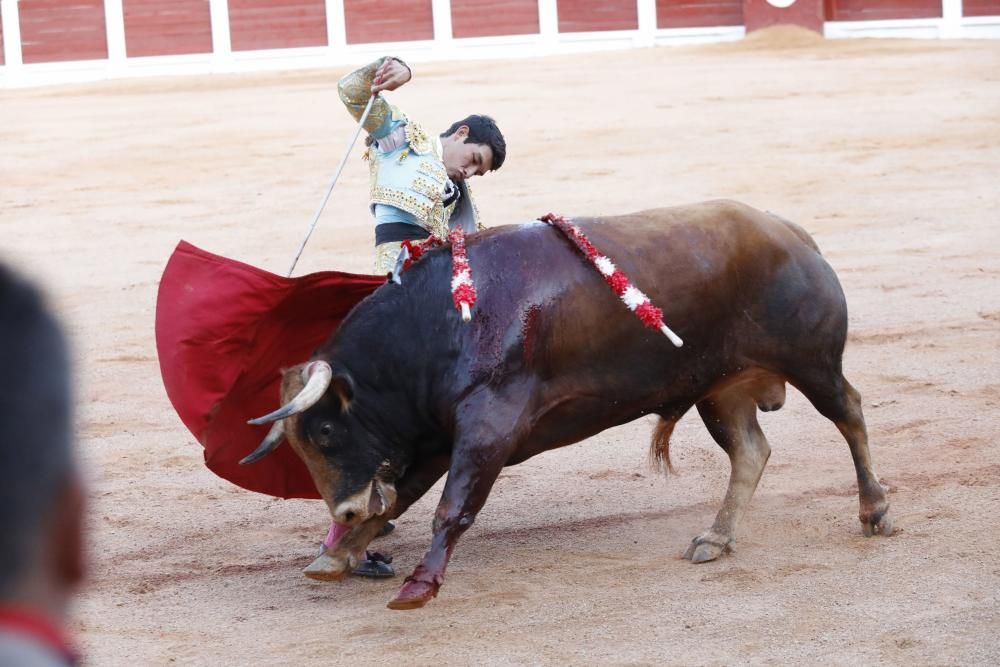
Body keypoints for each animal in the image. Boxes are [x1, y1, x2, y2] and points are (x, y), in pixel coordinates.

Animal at [240, 201, 892, 612]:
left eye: (326, 430)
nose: (343, 510)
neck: (439, 324)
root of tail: (789, 232)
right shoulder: (438, 439)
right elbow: (403, 497)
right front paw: (339, 555)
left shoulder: (488, 427)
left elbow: (451, 508)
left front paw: (417, 587)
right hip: (722, 390)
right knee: (751, 451)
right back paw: (715, 538)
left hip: (812, 362)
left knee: (850, 414)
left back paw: (875, 510)